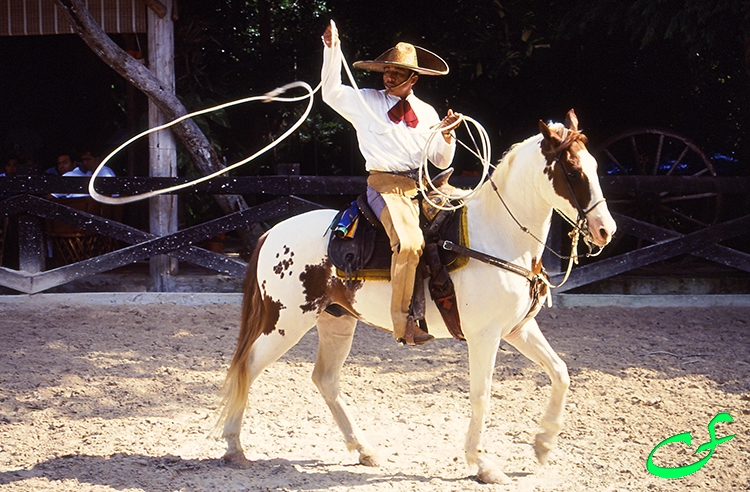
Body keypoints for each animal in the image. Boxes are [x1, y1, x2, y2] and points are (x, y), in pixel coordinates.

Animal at [217, 108, 616, 484]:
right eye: (573, 171)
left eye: (595, 167)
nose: (605, 230)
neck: (497, 234)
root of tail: (272, 233)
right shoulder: (484, 336)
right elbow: (482, 393)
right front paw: (483, 464)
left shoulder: (517, 329)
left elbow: (560, 372)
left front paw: (543, 444)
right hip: (284, 322)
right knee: (248, 366)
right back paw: (234, 447)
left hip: (336, 321)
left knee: (325, 379)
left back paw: (364, 450)